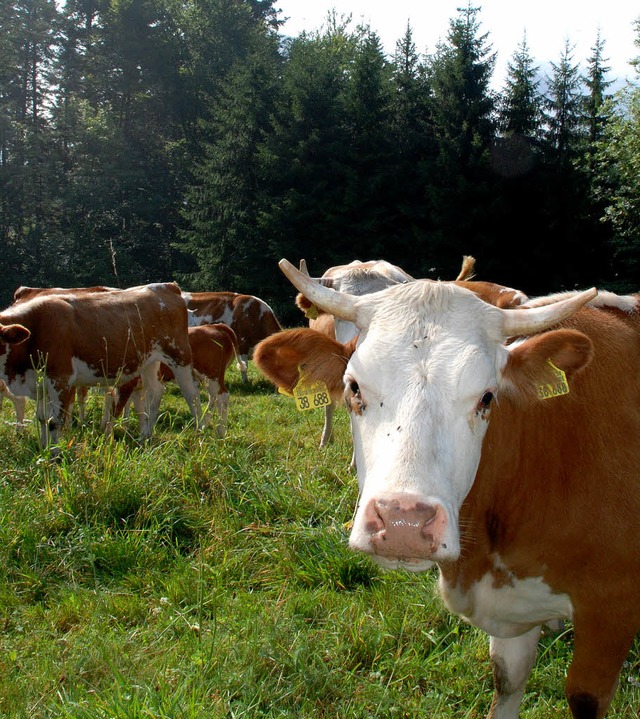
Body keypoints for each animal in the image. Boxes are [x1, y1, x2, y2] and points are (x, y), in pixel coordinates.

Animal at [0, 282, 201, 448]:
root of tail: (168, 286)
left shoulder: (60, 378)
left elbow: (53, 421)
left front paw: (54, 455)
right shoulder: (40, 383)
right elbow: (42, 419)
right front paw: (43, 448)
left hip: (180, 355)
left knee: (191, 394)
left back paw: (201, 433)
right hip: (149, 362)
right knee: (155, 392)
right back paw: (146, 436)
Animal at [255, 258, 640, 719]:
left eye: (487, 398)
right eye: (354, 388)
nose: (402, 522)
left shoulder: (611, 611)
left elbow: (584, 697)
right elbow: (507, 680)